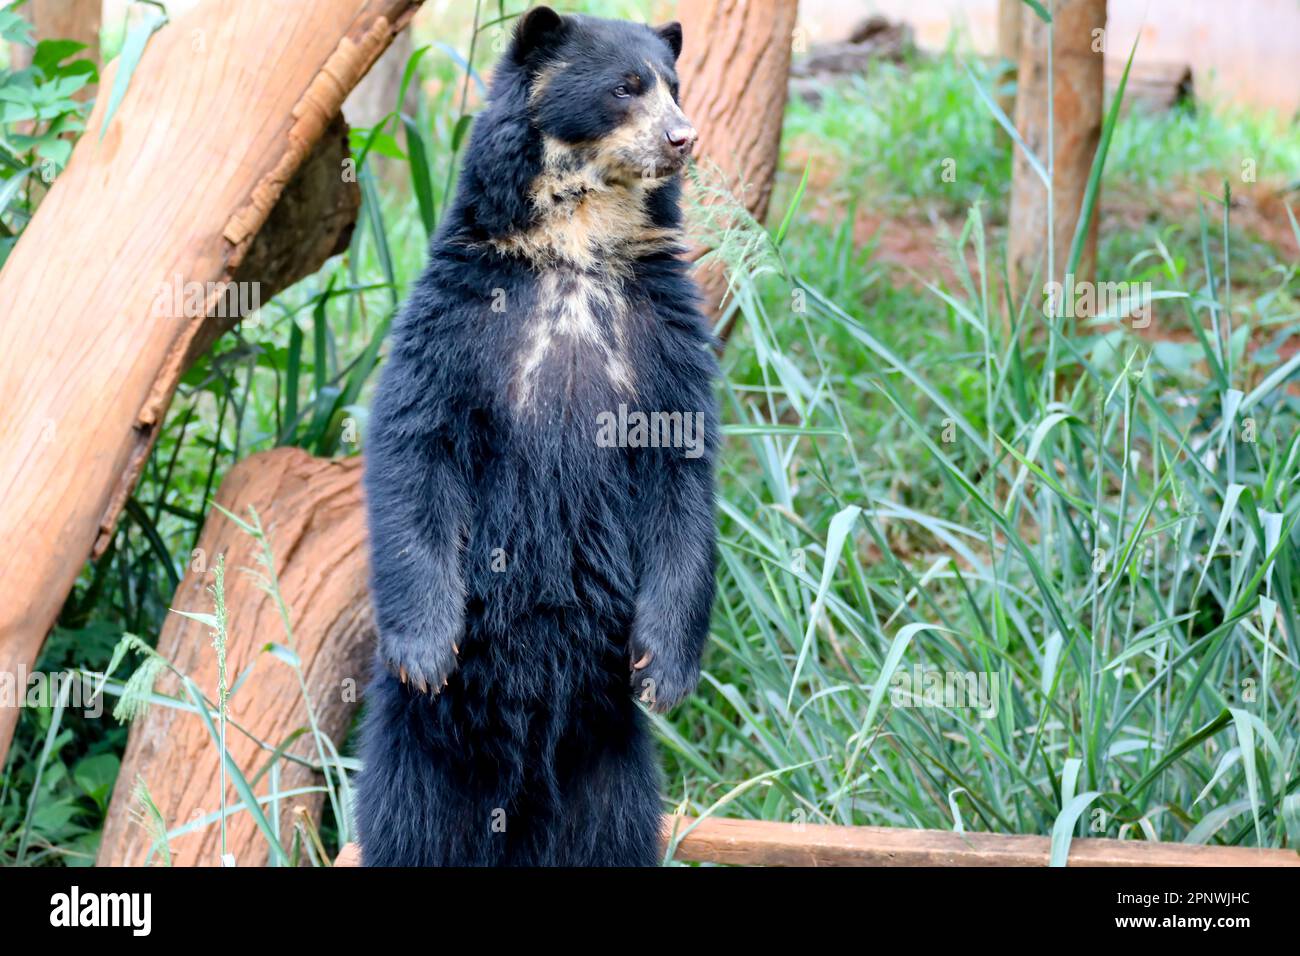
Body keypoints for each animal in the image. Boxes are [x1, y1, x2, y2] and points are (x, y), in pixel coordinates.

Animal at [354, 7, 719, 866]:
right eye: (626, 87)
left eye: (675, 86)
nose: (684, 137)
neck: (576, 241)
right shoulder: (457, 311)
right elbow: (416, 442)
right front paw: (427, 650)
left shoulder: (663, 329)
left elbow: (683, 473)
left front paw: (665, 671)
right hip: (423, 747)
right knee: (409, 820)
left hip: (609, 746)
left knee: (614, 826)